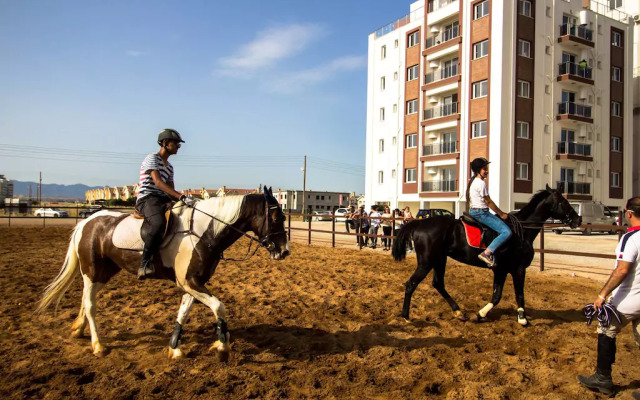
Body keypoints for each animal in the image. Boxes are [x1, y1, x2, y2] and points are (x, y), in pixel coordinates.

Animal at [36, 186, 292, 360]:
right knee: (90, 305)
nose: (284, 251)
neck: (204, 231)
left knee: (85, 299)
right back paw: (97, 345)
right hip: (92, 271)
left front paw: (174, 347)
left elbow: (183, 313)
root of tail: (88, 221)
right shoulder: (189, 282)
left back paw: (78, 329)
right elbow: (219, 307)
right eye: (276, 216)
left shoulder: (193, 283)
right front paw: (222, 347)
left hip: (103, 272)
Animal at [392, 186, 584, 326]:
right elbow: (517, 294)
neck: (521, 231)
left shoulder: (501, 270)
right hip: (427, 262)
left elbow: (497, 295)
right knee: (411, 284)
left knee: (438, 283)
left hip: (439, 260)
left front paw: (480, 314)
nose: (578, 220)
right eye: (563, 201)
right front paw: (522, 318)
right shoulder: (517, 269)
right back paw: (406, 316)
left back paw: (459, 312)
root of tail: (419, 224)